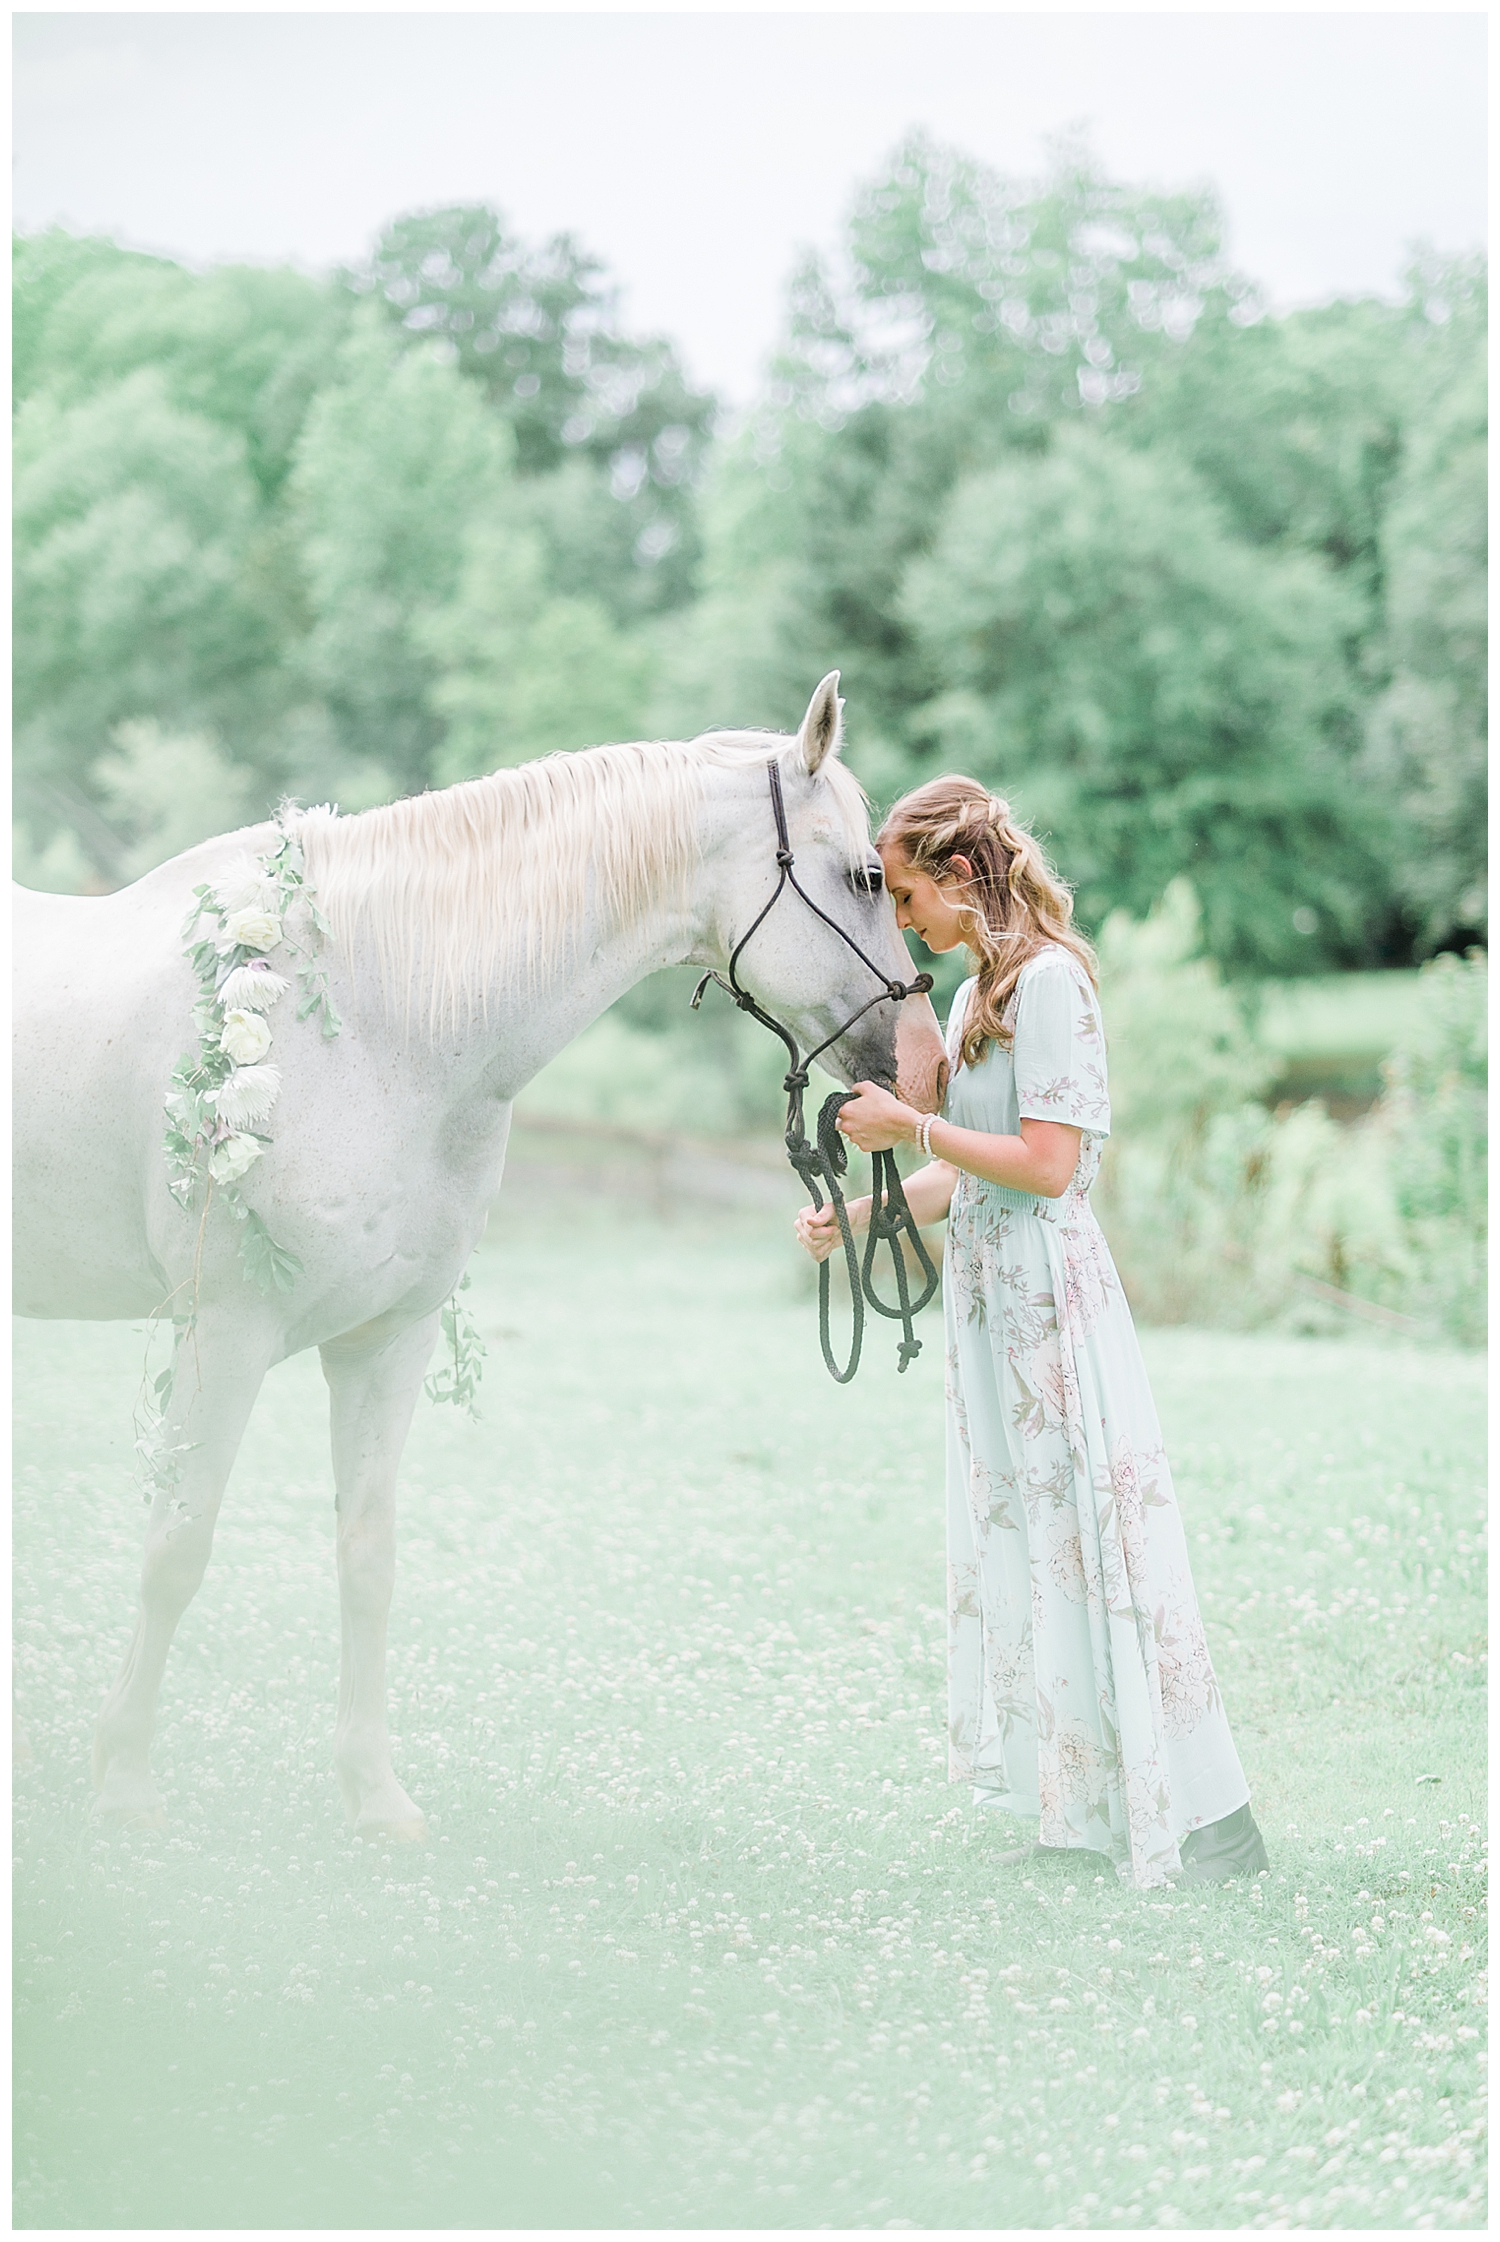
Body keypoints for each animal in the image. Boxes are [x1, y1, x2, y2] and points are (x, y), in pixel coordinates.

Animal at [12, 675, 947, 1842]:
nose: (925, 1066)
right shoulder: (225, 1332)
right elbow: (176, 1549)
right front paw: (127, 1778)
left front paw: (374, 1796)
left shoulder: (386, 1341)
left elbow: (367, 1561)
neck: (375, 1020)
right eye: (864, 875)